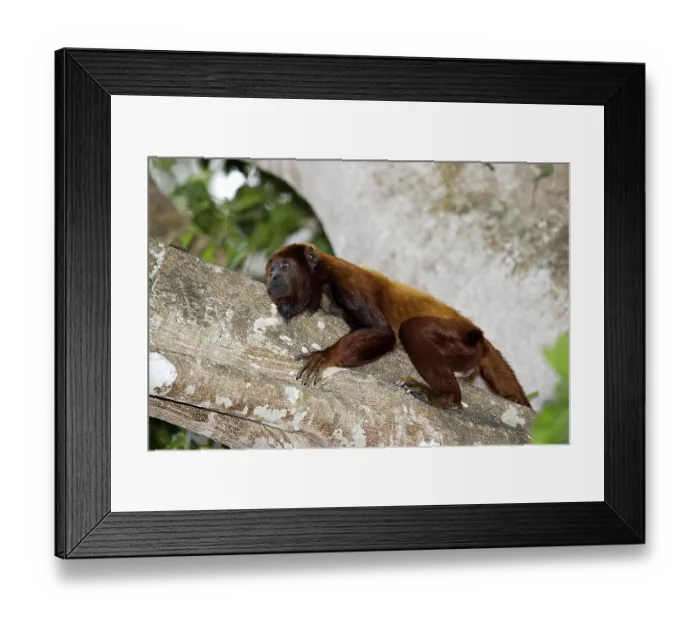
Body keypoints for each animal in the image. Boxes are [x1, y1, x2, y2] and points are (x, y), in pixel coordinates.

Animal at [265, 243, 532, 410]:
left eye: (284, 266)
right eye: (270, 270)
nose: (273, 278)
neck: (318, 285)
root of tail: (482, 339)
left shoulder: (343, 278)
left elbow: (382, 332)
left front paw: (325, 356)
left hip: (463, 339)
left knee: (411, 329)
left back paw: (447, 397)